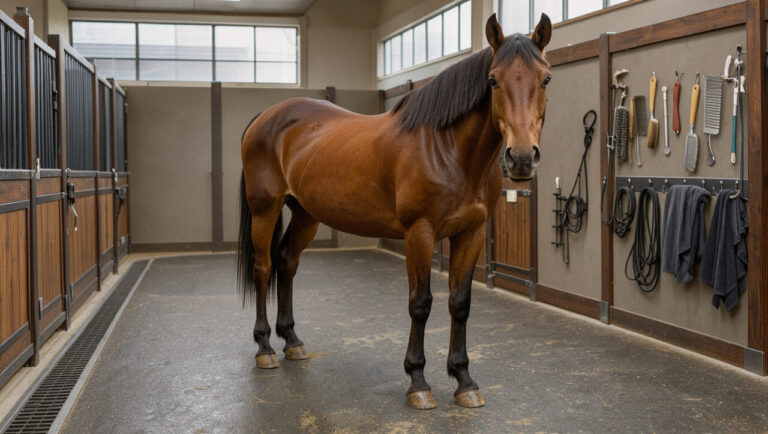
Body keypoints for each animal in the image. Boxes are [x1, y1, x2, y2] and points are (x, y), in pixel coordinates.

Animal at [237, 13, 552, 410]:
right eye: (493, 80)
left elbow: (460, 303)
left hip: (307, 214)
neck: (447, 149)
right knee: (263, 269)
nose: (522, 158)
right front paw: (417, 381)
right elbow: (421, 303)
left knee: (286, 262)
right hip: (265, 210)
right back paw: (265, 348)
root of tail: (266, 116)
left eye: (546, 78)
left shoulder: (472, 233)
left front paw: (464, 380)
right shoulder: (420, 233)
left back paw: (292, 342)